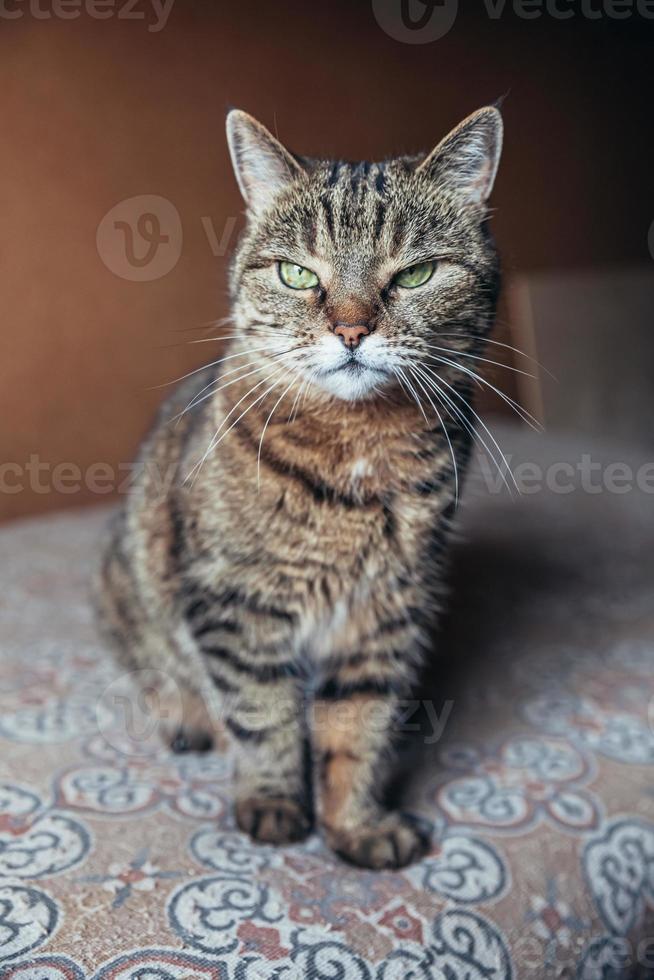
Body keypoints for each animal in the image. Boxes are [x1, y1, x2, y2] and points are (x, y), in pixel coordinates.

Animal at [97, 107, 504, 868]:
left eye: (416, 274)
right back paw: (185, 717)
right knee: (154, 667)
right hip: (123, 581)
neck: (359, 444)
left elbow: (358, 726)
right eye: (295, 275)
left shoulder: (388, 612)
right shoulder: (239, 603)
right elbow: (265, 716)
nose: (350, 329)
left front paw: (357, 824)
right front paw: (274, 804)